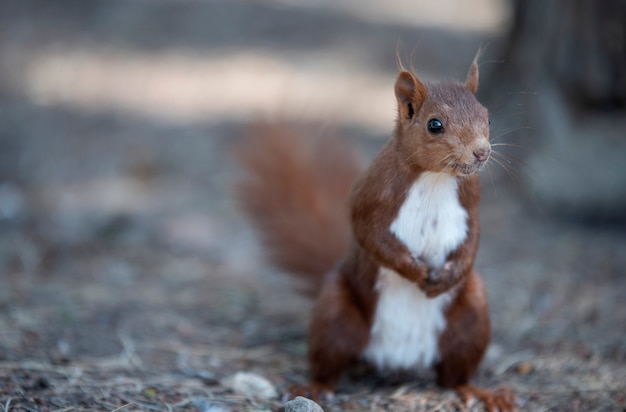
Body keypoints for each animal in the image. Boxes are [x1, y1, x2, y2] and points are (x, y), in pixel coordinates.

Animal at [236, 55, 516, 412]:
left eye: (488, 117)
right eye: (434, 124)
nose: (482, 152)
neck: (434, 179)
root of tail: (400, 357)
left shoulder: (471, 204)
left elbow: (473, 241)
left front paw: (446, 277)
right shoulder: (368, 198)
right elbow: (372, 237)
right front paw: (415, 271)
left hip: (471, 318)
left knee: (453, 376)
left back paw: (482, 393)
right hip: (334, 314)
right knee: (329, 364)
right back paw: (314, 388)